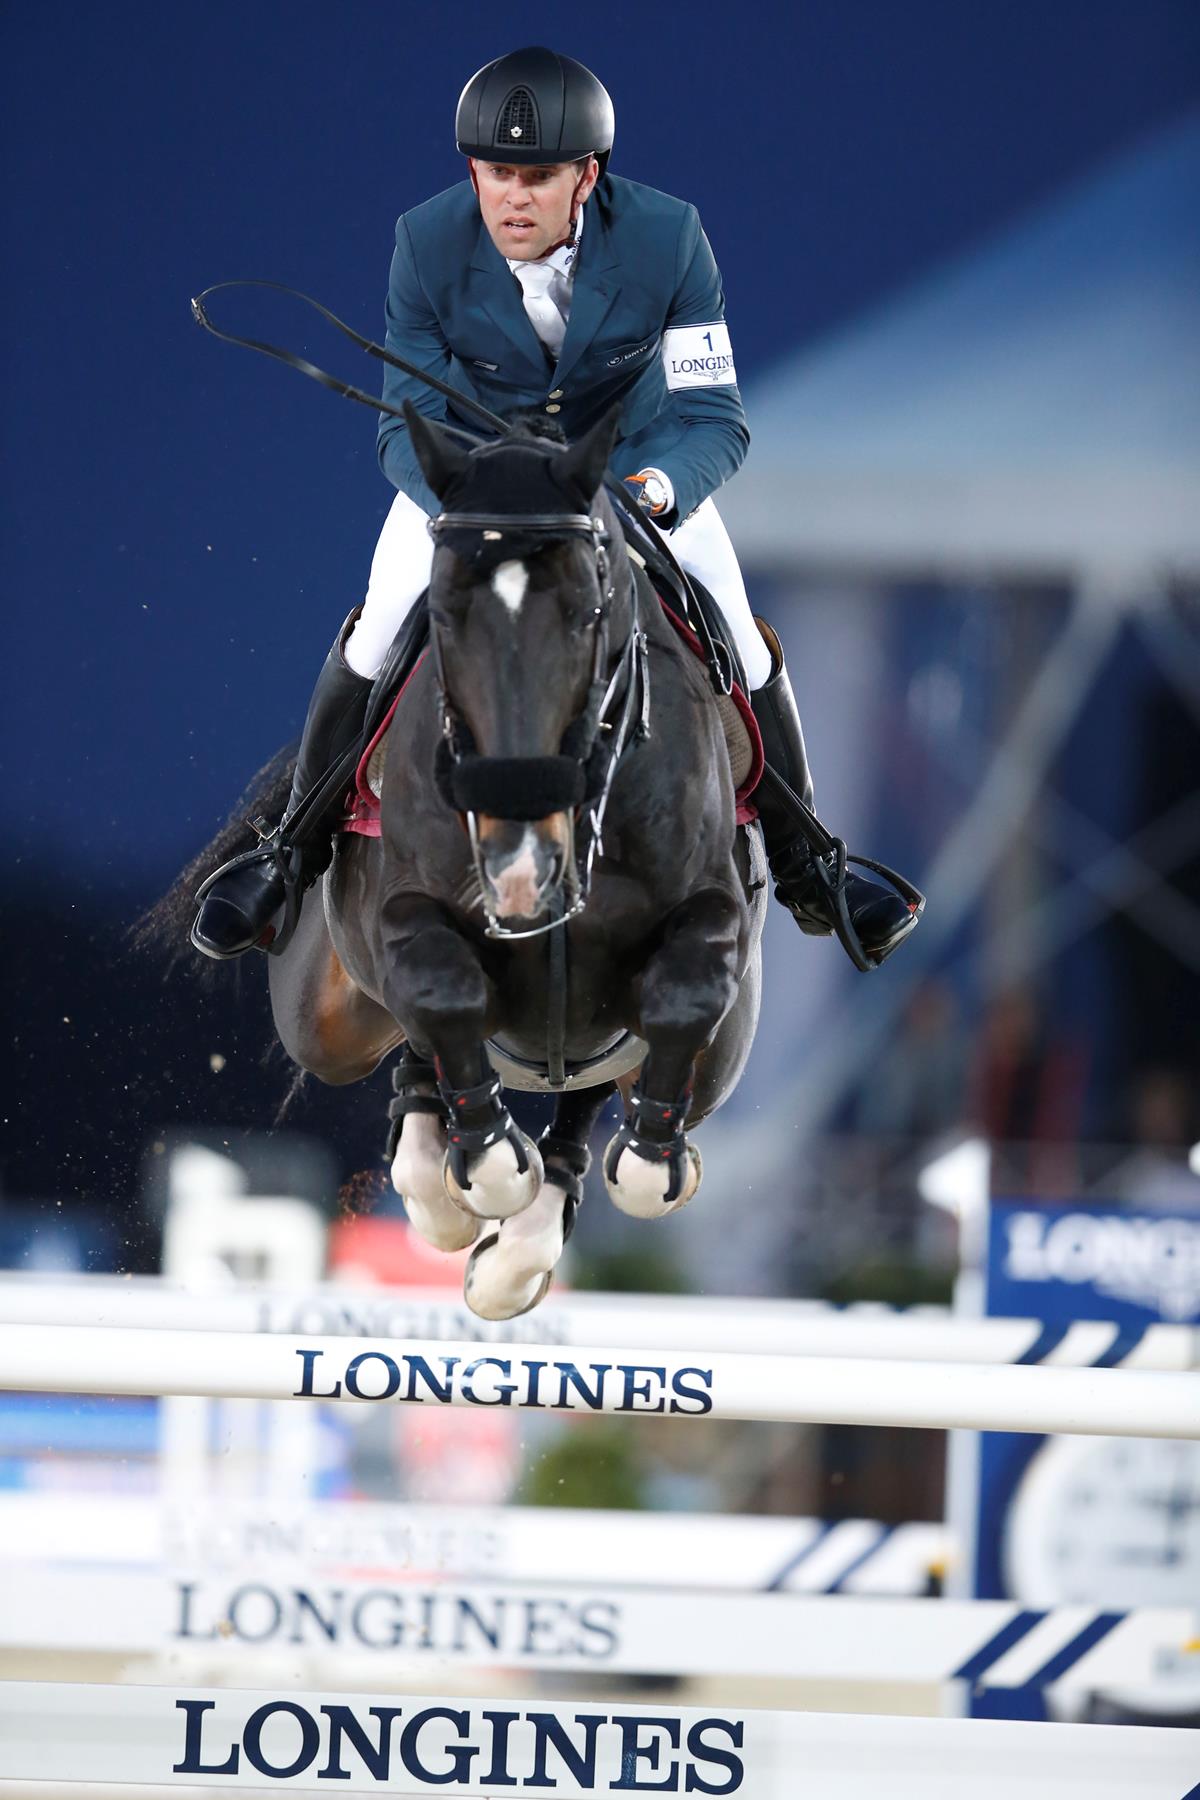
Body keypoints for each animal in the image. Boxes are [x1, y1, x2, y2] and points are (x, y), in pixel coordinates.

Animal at [180, 412, 770, 1324]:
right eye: (448, 617)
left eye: (588, 610)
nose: (520, 862)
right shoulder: (405, 913)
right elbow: (437, 988)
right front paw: (483, 1170)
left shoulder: (711, 923)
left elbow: (683, 998)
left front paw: (647, 1163)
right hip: (325, 1021)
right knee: (410, 1042)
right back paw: (443, 1179)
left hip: (710, 1058)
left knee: (594, 1089)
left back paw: (518, 1250)